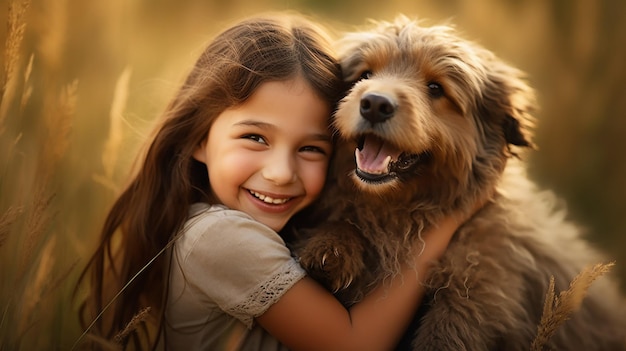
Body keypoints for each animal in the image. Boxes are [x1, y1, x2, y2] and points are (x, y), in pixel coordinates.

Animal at [292, 15, 624, 350]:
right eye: (365, 75)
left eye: (436, 88)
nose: (374, 104)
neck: (400, 216)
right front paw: (330, 247)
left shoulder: (469, 298)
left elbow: (444, 336)